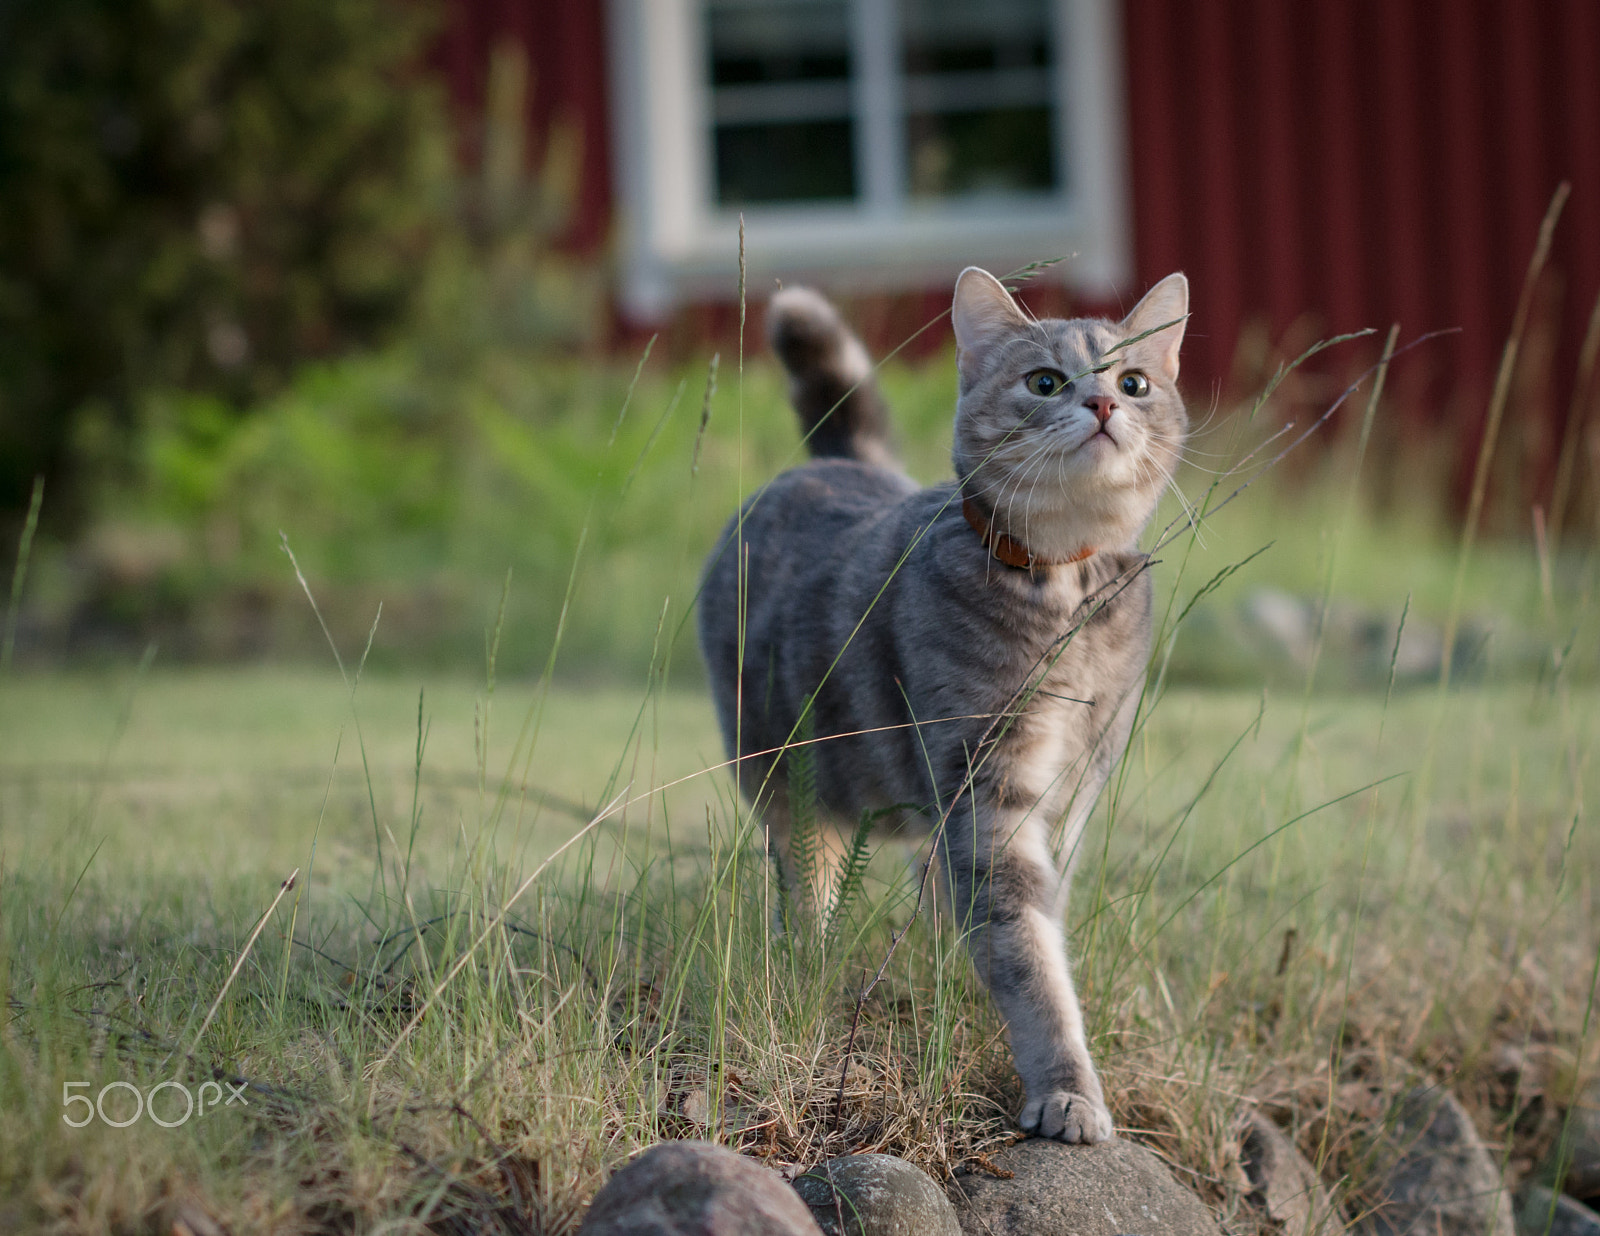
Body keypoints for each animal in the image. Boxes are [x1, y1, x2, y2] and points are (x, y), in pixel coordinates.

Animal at [700, 265, 1190, 1146]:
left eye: (1136, 383)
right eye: (1045, 382)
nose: (1103, 404)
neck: (1065, 590)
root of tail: (838, 464)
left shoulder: (1075, 790)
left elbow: (1034, 925)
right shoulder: (989, 794)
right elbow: (1029, 955)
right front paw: (1067, 1090)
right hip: (792, 786)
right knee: (808, 893)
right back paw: (808, 964)